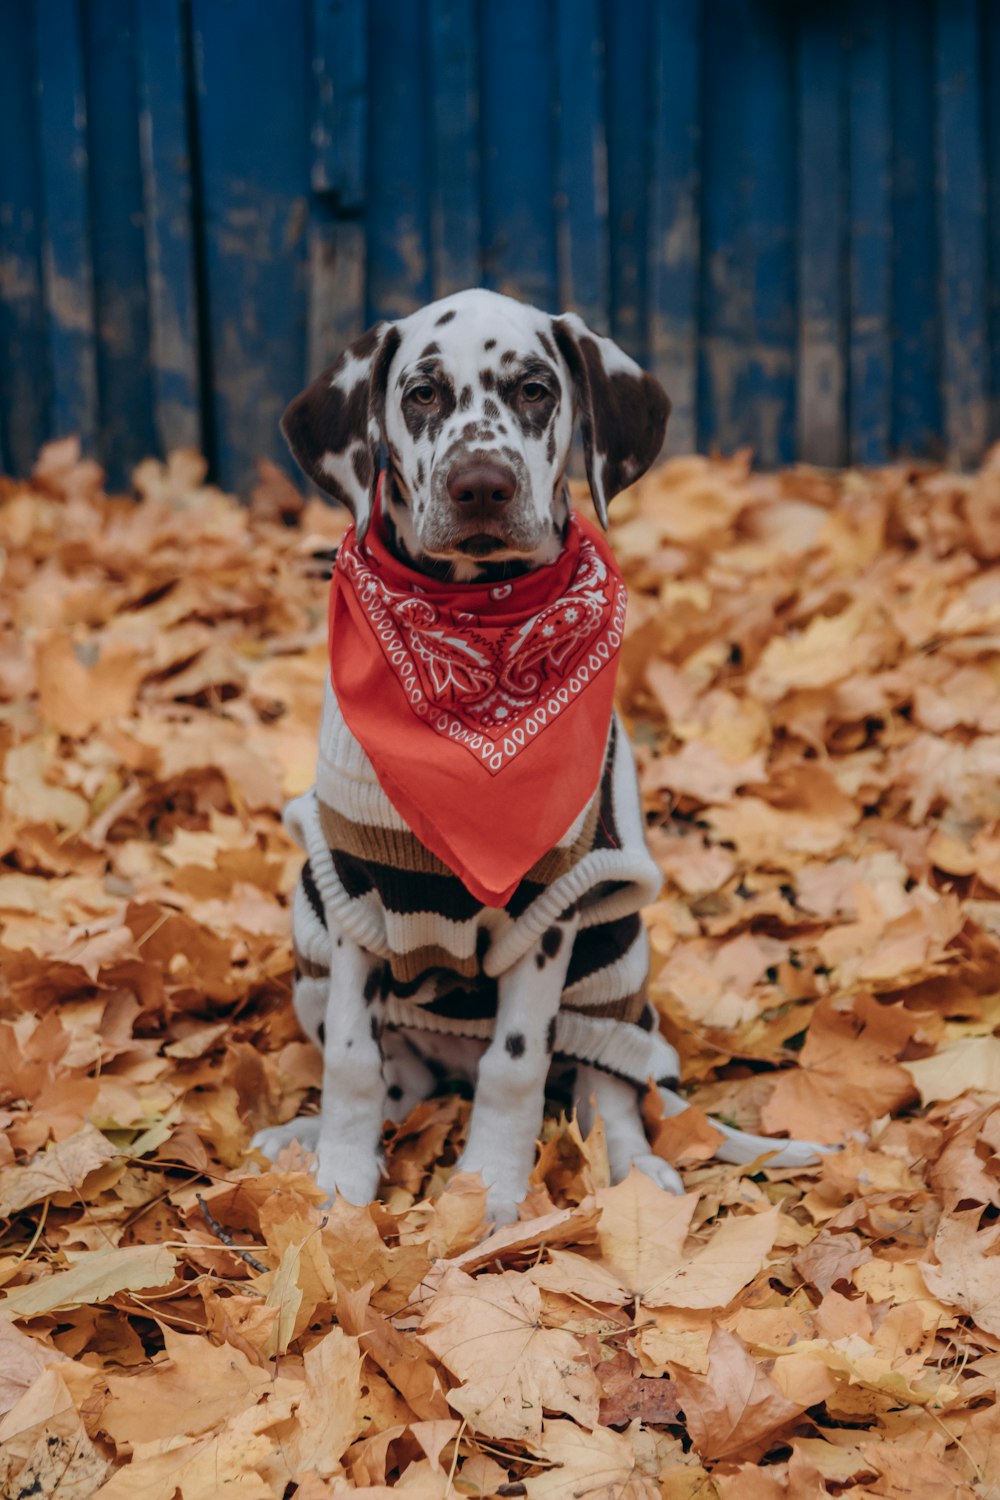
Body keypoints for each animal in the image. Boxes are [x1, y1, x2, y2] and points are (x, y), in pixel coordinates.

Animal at [251, 286, 827, 1224]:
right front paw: (338, 1181)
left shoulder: (551, 906)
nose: (480, 485)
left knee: (608, 1091)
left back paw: (638, 1172)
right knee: (402, 1079)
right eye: (422, 394)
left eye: (533, 390)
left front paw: (487, 1190)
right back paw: (303, 1138)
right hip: (309, 913)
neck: (479, 630)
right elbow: (351, 1058)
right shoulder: (357, 895)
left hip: (614, 955)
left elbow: (516, 1065)